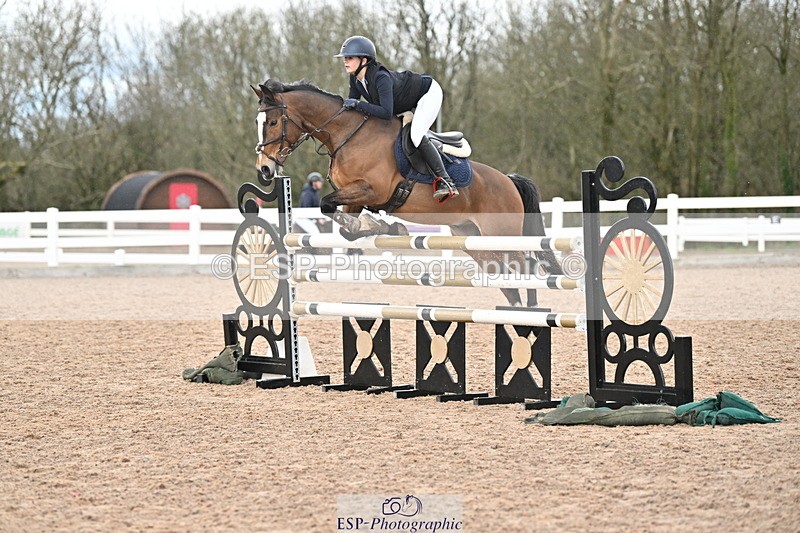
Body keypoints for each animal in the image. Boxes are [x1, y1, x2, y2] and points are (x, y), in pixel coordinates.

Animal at [252, 79, 561, 307]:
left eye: (273, 122)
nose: (264, 169)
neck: (348, 135)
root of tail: (508, 180)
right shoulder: (353, 196)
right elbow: (345, 228)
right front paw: (386, 227)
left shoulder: (372, 190)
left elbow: (328, 205)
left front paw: (383, 225)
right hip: (475, 240)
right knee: (506, 279)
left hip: (501, 235)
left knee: (526, 267)